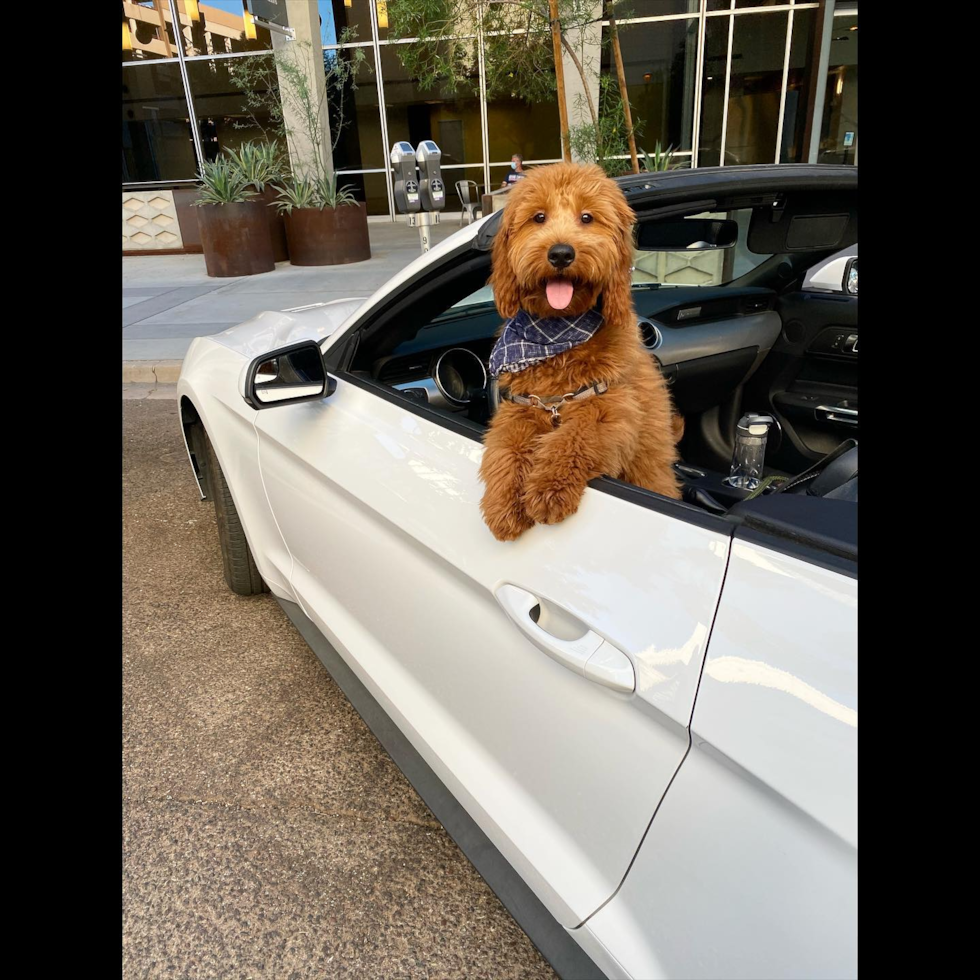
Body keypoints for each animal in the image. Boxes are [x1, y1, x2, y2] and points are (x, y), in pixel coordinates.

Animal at [476, 163, 676, 544]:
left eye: (587, 217)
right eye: (538, 217)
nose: (560, 253)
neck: (556, 338)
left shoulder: (611, 407)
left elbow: (574, 438)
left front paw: (547, 489)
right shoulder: (521, 407)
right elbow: (505, 447)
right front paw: (504, 503)